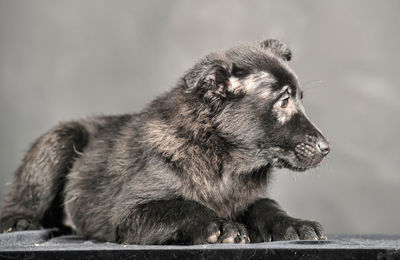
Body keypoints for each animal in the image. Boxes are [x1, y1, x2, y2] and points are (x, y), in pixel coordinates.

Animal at [0, 38, 328, 244]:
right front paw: (220, 225)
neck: (222, 160)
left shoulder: (248, 199)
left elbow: (267, 206)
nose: (327, 149)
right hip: (59, 141)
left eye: (299, 98)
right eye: (284, 101)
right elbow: (182, 206)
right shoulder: (130, 213)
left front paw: (295, 224)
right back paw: (19, 220)